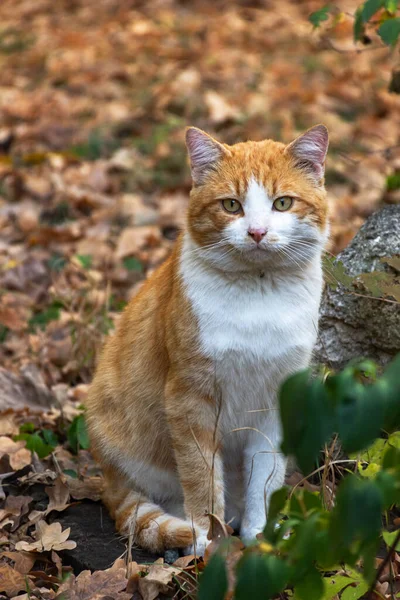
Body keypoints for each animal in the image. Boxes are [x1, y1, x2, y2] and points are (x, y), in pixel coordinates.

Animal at [86, 124, 330, 556]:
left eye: (282, 203)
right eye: (231, 205)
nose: (257, 232)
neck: (258, 294)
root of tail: (108, 477)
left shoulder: (274, 401)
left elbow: (265, 476)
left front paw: (259, 535)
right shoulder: (190, 400)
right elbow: (200, 474)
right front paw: (206, 538)